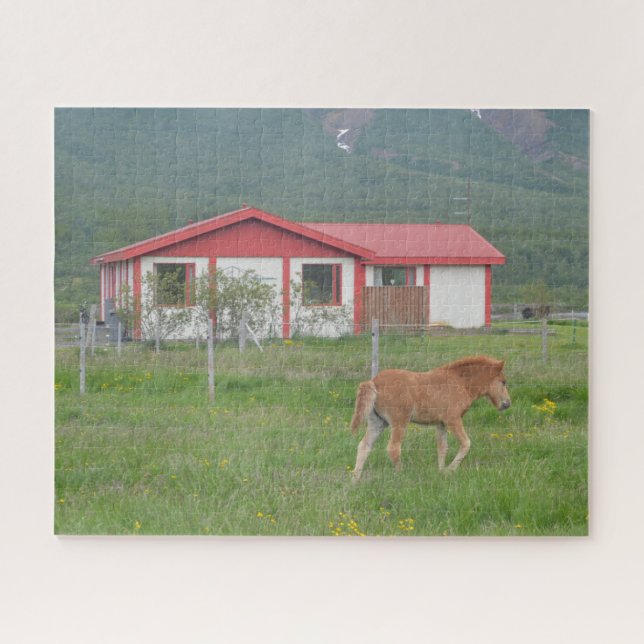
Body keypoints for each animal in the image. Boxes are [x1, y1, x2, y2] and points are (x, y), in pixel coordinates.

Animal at [350, 355, 511, 481]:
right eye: (503, 381)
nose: (507, 404)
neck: (460, 382)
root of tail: (374, 382)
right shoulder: (453, 419)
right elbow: (466, 443)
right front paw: (450, 470)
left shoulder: (441, 424)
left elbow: (442, 447)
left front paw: (441, 472)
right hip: (399, 421)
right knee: (393, 448)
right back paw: (401, 475)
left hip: (377, 422)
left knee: (364, 445)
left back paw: (355, 480)